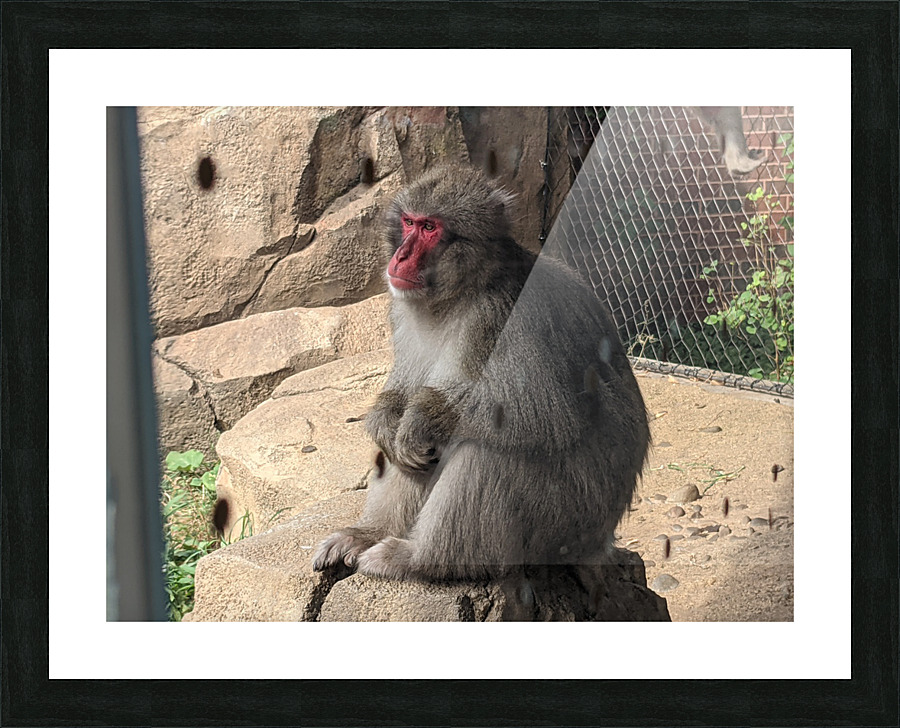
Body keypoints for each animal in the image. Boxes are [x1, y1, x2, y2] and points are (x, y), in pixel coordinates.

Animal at [312, 164, 650, 582]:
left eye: (430, 228)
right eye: (409, 222)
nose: (401, 256)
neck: (462, 292)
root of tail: (599, 542)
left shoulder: (506, 315)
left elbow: (549, 415)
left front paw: (423, 419)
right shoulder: (403, 310)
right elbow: (403, 395)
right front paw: (384, 419)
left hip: (564, 523)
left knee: (486, 448)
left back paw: (422, 558)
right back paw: (370, 534)